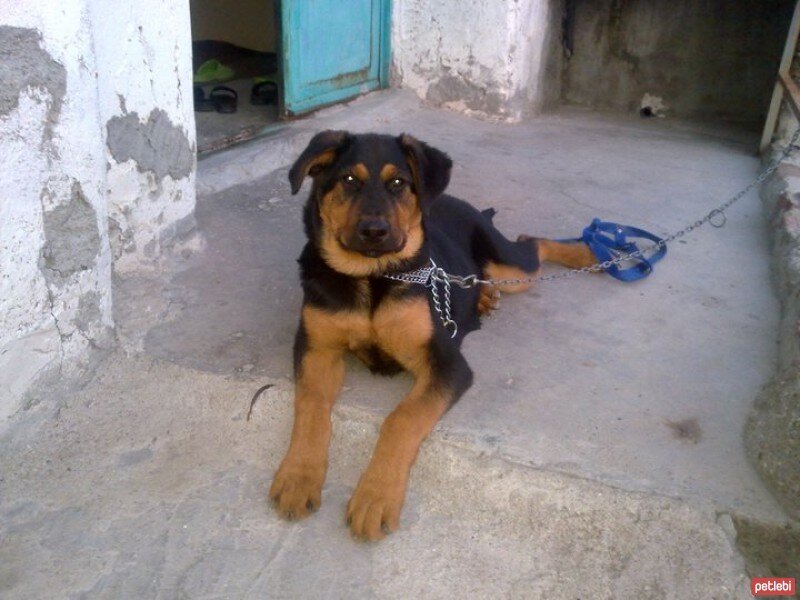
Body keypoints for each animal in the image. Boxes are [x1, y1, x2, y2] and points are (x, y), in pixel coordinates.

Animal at [272, 130, 596, 540]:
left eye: (398, 183)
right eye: (348, 180)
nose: (374, 232)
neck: (372, 276)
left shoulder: (445, 362)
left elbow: (401, 419)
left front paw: (375, 497)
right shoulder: (316, 349)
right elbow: (311, 406)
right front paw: (298, 477)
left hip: (512, 267)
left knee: (532, 242)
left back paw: (587, 254)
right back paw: (484, 298)